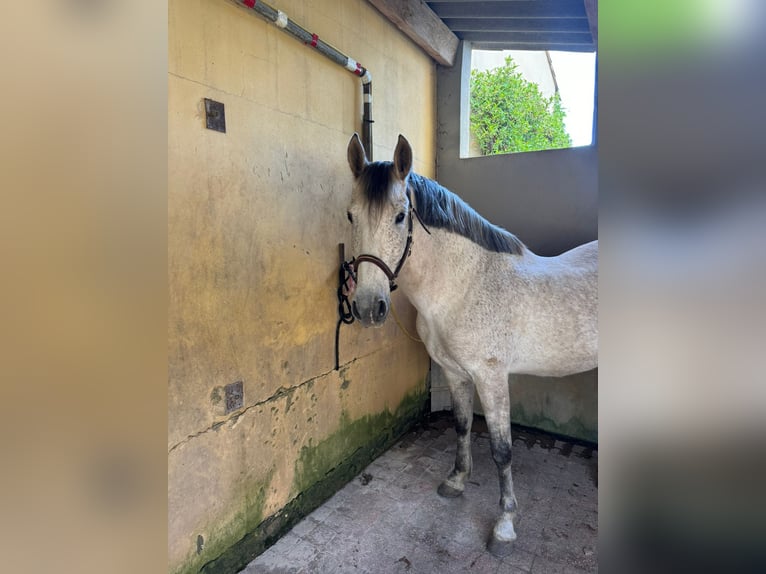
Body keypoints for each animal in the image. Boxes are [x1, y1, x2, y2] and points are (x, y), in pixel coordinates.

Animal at [344, 135, 600, 560]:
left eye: (400, 216)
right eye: (351, 216)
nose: (368, 307)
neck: (463, 287)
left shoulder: (491, 377)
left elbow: (502, 450)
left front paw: (505, 526)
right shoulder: (454, 371)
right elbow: (462, 425)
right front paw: (456, 481)